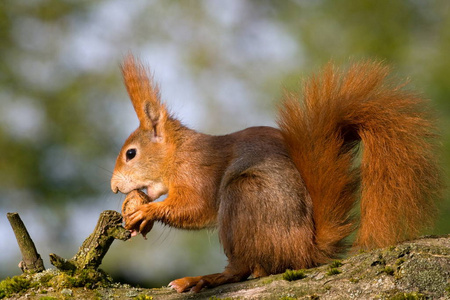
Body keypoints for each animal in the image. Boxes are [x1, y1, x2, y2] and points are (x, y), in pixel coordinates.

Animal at [110, 54, 442, 292]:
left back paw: (203, 279)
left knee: (240, 269)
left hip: (244, 196)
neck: (177, 154)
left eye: (131, 154)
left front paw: (147, 212)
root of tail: (306, 252)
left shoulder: (198, 171)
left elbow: (195, 207)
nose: (114, 187)